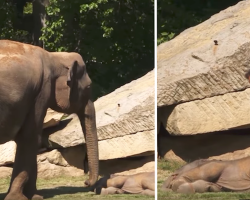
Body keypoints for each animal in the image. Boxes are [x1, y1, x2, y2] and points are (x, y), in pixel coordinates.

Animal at [0, 40, 99, 200]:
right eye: (89, 86)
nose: (86, 183)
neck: (54, 57)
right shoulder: (41, 91)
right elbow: (29, 138)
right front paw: (17, 197)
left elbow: (32, 140)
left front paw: (35, 196)